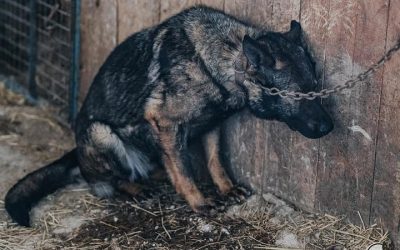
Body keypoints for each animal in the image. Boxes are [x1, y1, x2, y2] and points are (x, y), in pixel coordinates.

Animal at [4, 5, 332, 226]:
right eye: (299, 95)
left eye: (316, 87)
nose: (329, 127)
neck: (217, 62)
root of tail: (76, 155)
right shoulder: (165, 123)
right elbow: (185, 172)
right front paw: (199, 203)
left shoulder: (211, 125)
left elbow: (215, 162)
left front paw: (225, 189)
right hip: (101, 133)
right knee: (112, 181)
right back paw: (136, 188)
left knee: (156, 164)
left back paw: (157, 173)